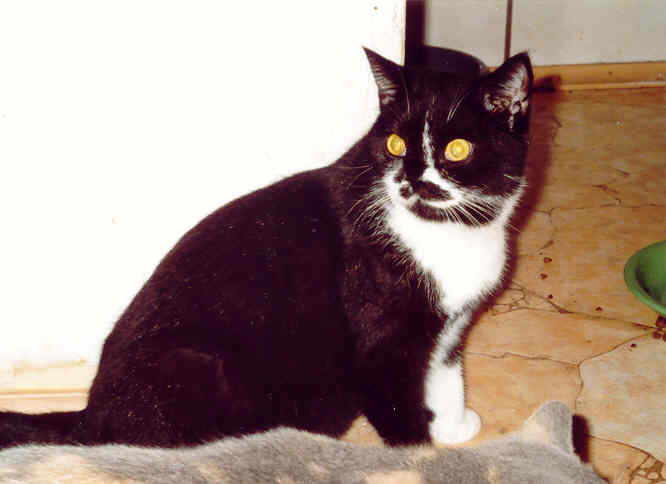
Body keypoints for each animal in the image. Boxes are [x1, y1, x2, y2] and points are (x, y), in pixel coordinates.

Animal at [0, 47, 533, 448]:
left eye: (457, 150)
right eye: (397, 145)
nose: (411, 180)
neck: (450, 234)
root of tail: (91, 414)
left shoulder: (450, 321)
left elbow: (446, 372)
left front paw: (454, 424)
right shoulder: (381, 343)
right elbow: (398, 409)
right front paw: (424, 454)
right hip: (196, 368)